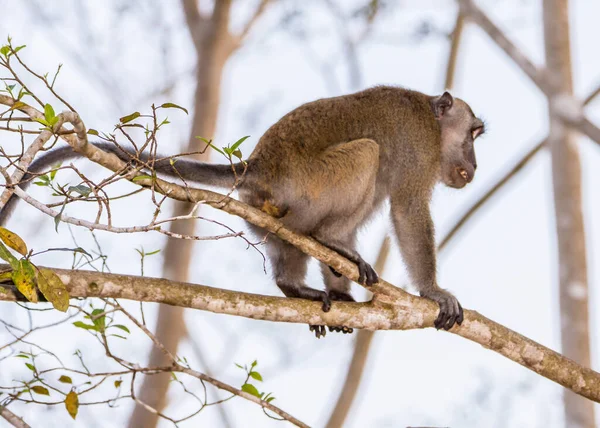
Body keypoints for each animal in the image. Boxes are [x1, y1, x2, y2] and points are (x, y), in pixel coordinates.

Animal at [0, 84, 486, 338]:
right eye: (474, 133)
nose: (476, 163)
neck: (430, 114)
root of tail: (258, 167)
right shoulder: (420, 147)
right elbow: (407, 210)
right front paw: (433, 291)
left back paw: (293, 282)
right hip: (307, 183)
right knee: (368, 153)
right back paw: (327, 243)